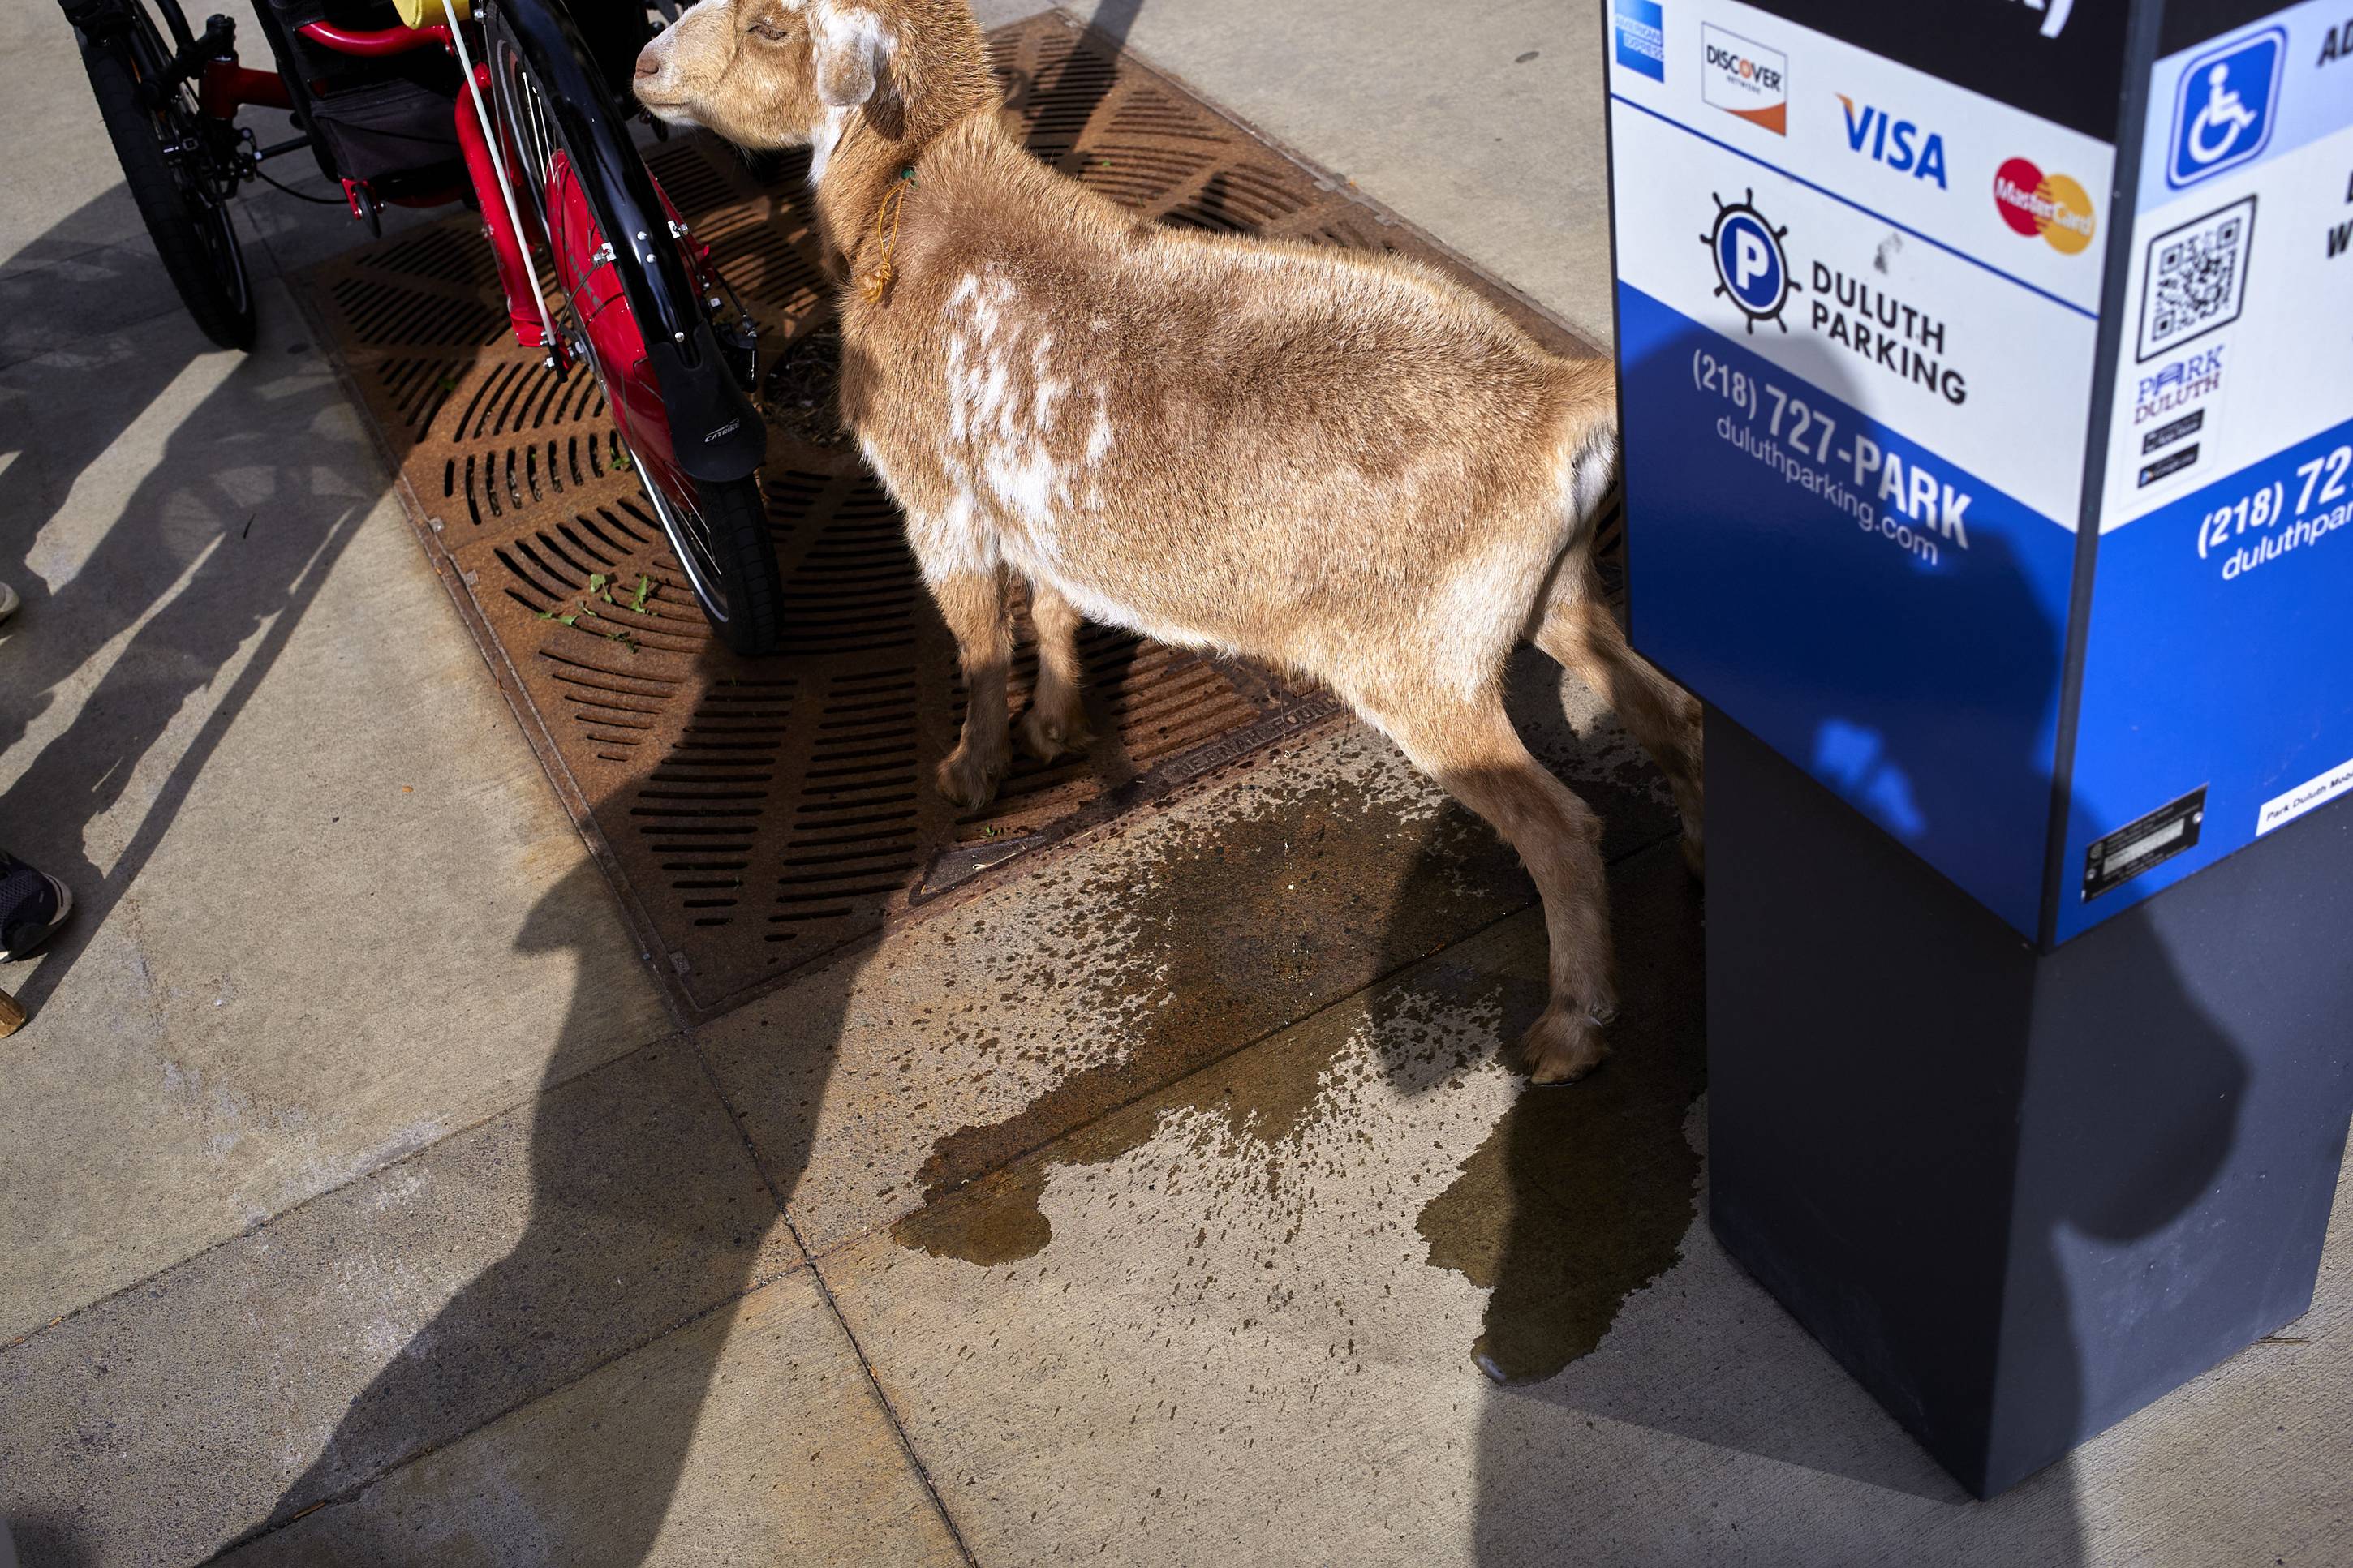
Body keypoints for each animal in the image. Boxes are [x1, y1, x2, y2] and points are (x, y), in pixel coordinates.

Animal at [633, 0, 1704, 1083]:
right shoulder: (1044, 509)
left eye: (770, 28)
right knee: (1663, 712)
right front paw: (1054, 724)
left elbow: (977, 636)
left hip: (1418, 663)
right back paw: (1699, 861)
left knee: (1560, 828)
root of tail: (1547, 401)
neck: (918, 194)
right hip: (1554, 589)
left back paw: (1567, 1032)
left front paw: (972, 772)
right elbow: (1054, 603)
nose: (642, 67)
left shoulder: (938, 500)